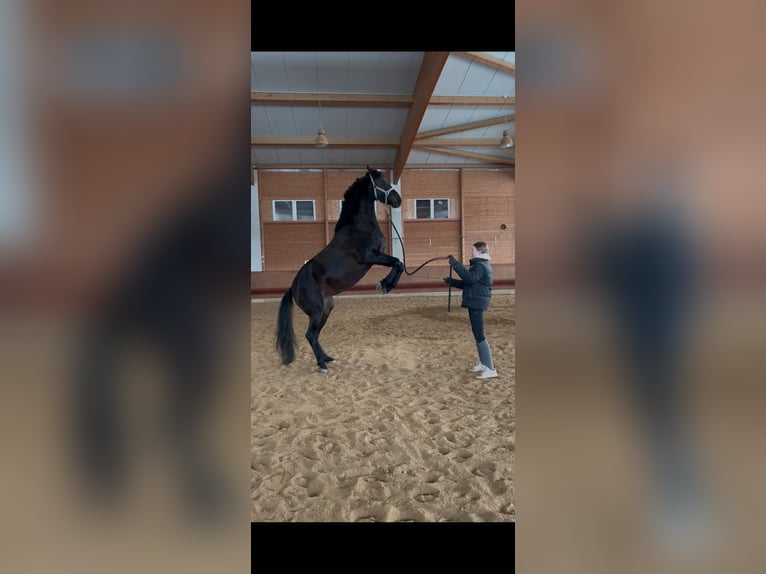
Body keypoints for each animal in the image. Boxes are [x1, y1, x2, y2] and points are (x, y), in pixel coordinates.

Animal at [276, 166, 403, 372]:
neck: (359, 226)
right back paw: (322, 365)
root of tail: (293, 287)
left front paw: (386, 285)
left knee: (315, 335)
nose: (397, 200)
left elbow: (398, 262)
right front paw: (384, 285)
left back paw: (327, 358)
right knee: (310, 335)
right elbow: (398, 262)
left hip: (327, 308)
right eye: (381, 181)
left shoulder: (376, 256)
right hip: (317, 311)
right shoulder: (369, 256)